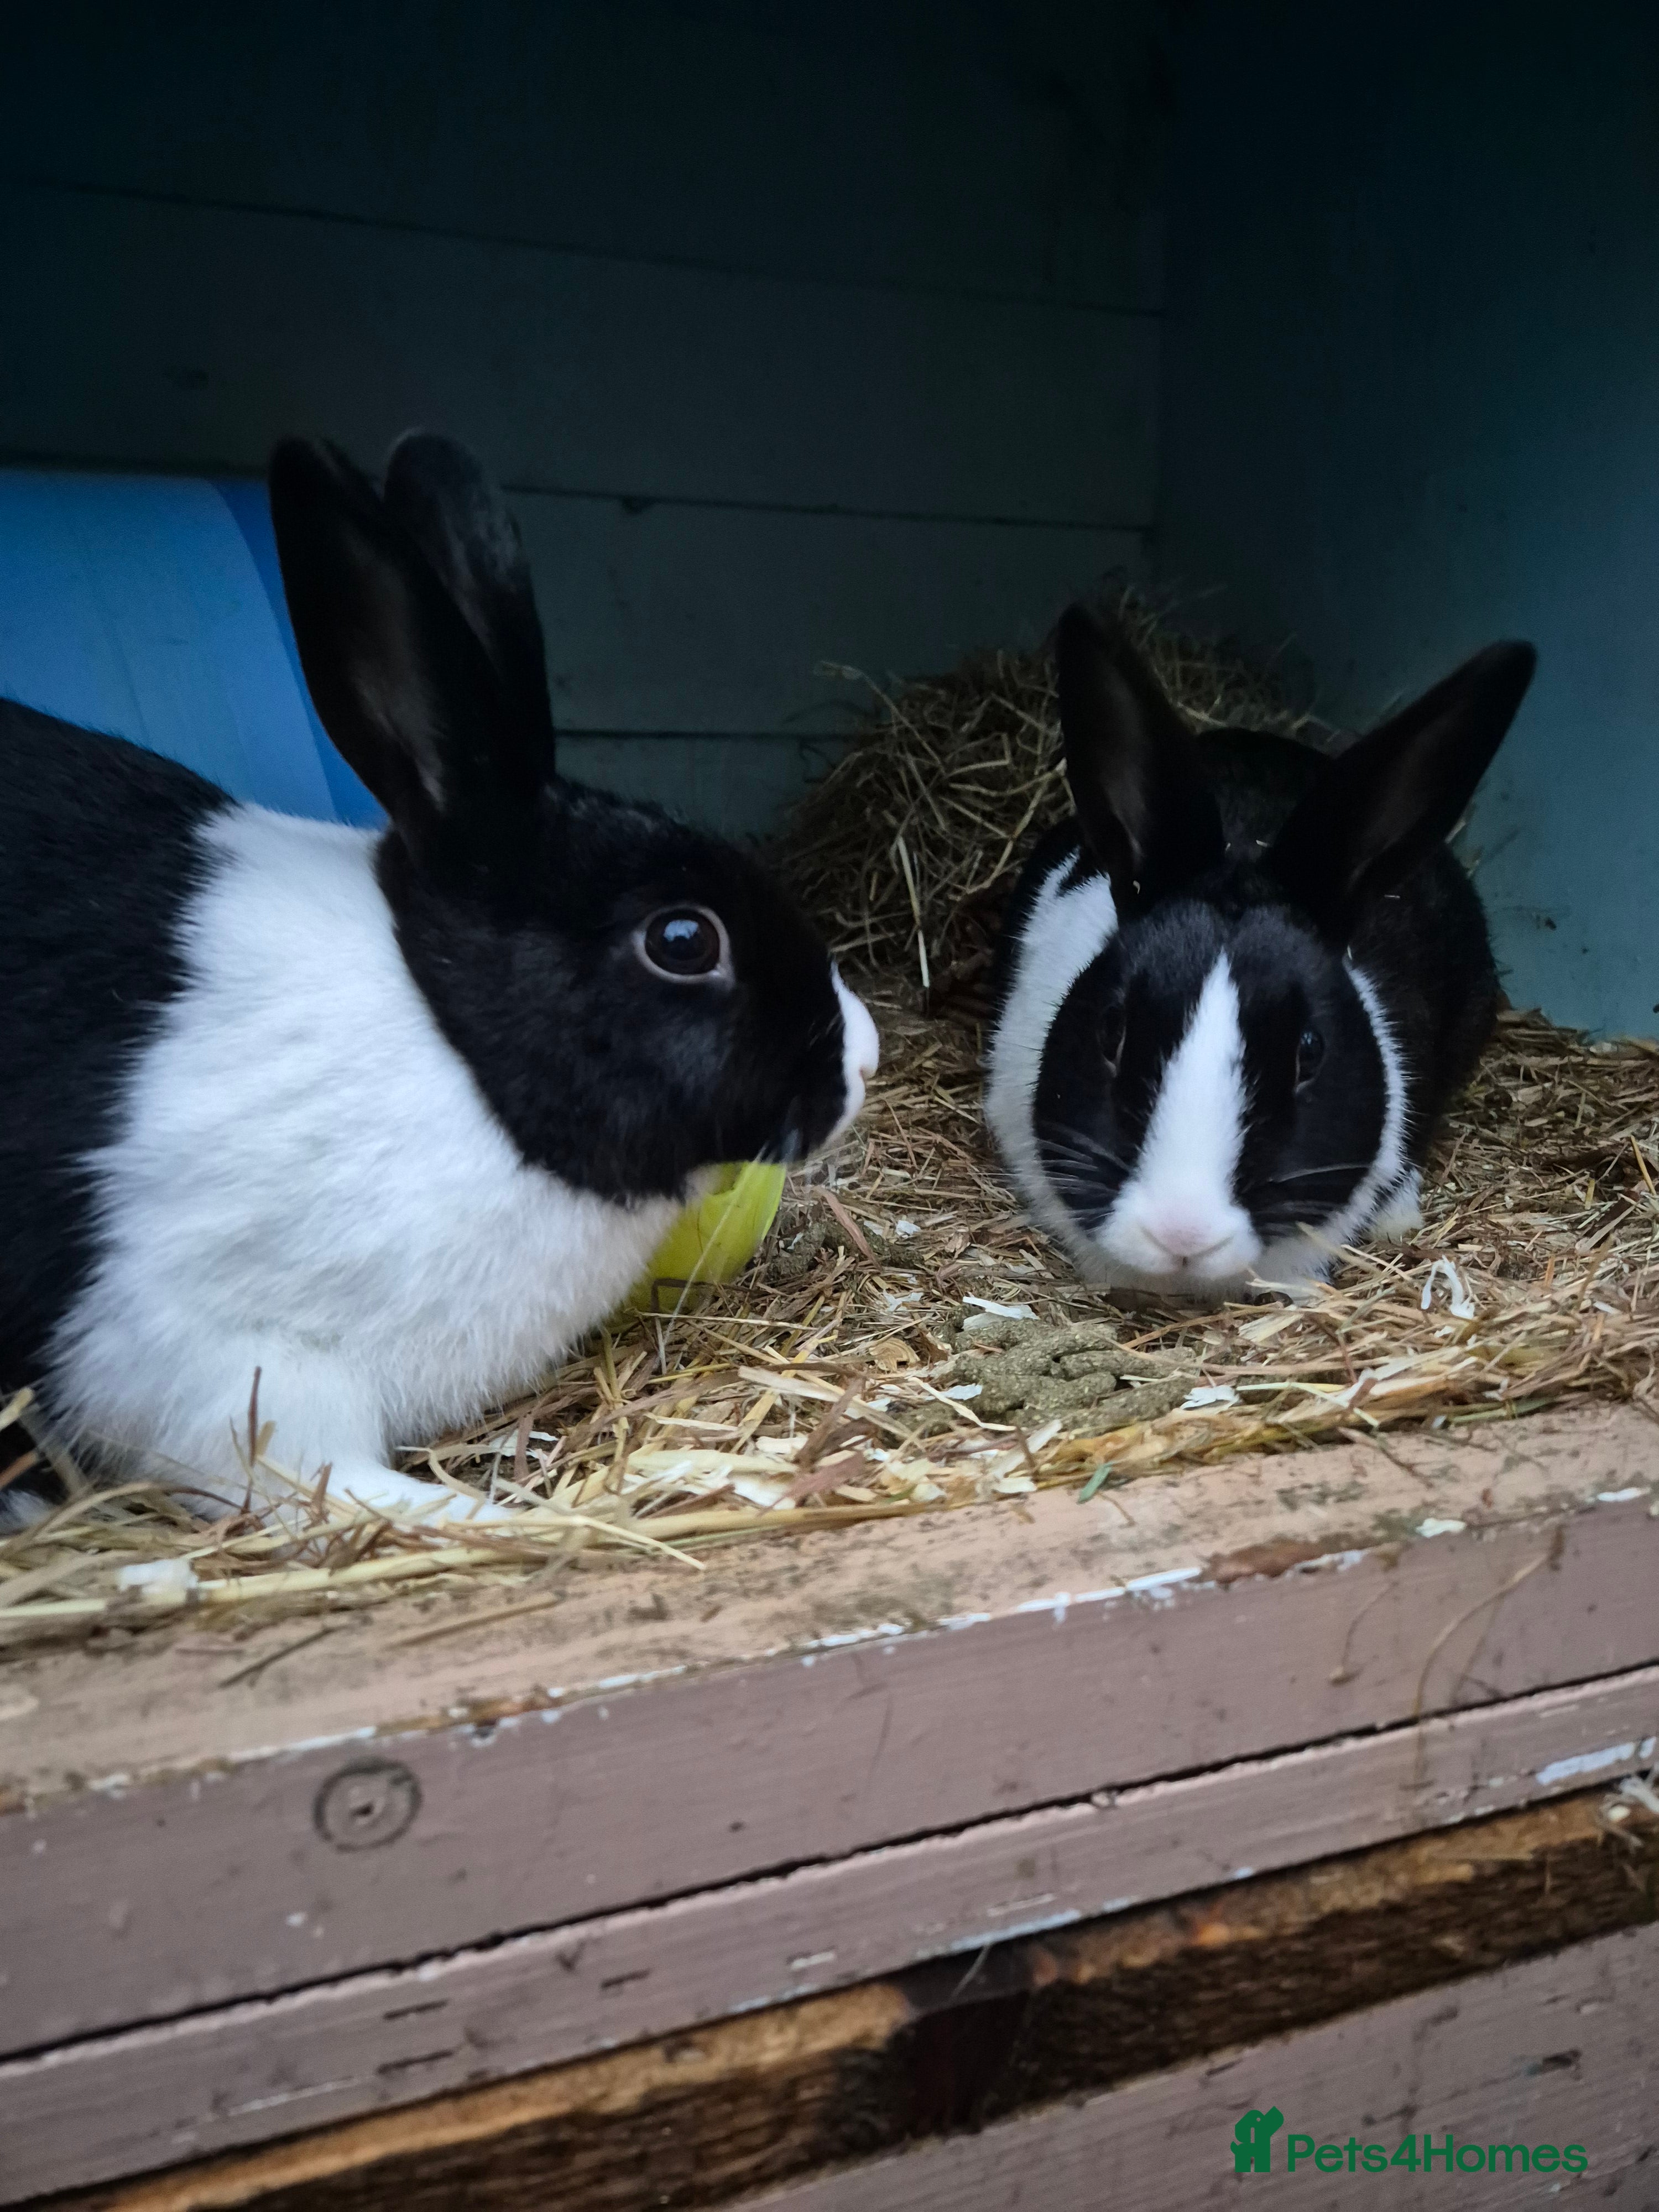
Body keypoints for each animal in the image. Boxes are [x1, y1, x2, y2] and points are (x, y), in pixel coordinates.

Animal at [0, 431, 879, 1526]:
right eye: (684, 940)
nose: (866, 1059)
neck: (459, 1058)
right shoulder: (226, 1364)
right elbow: (332, 1483)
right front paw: (507, 1524)